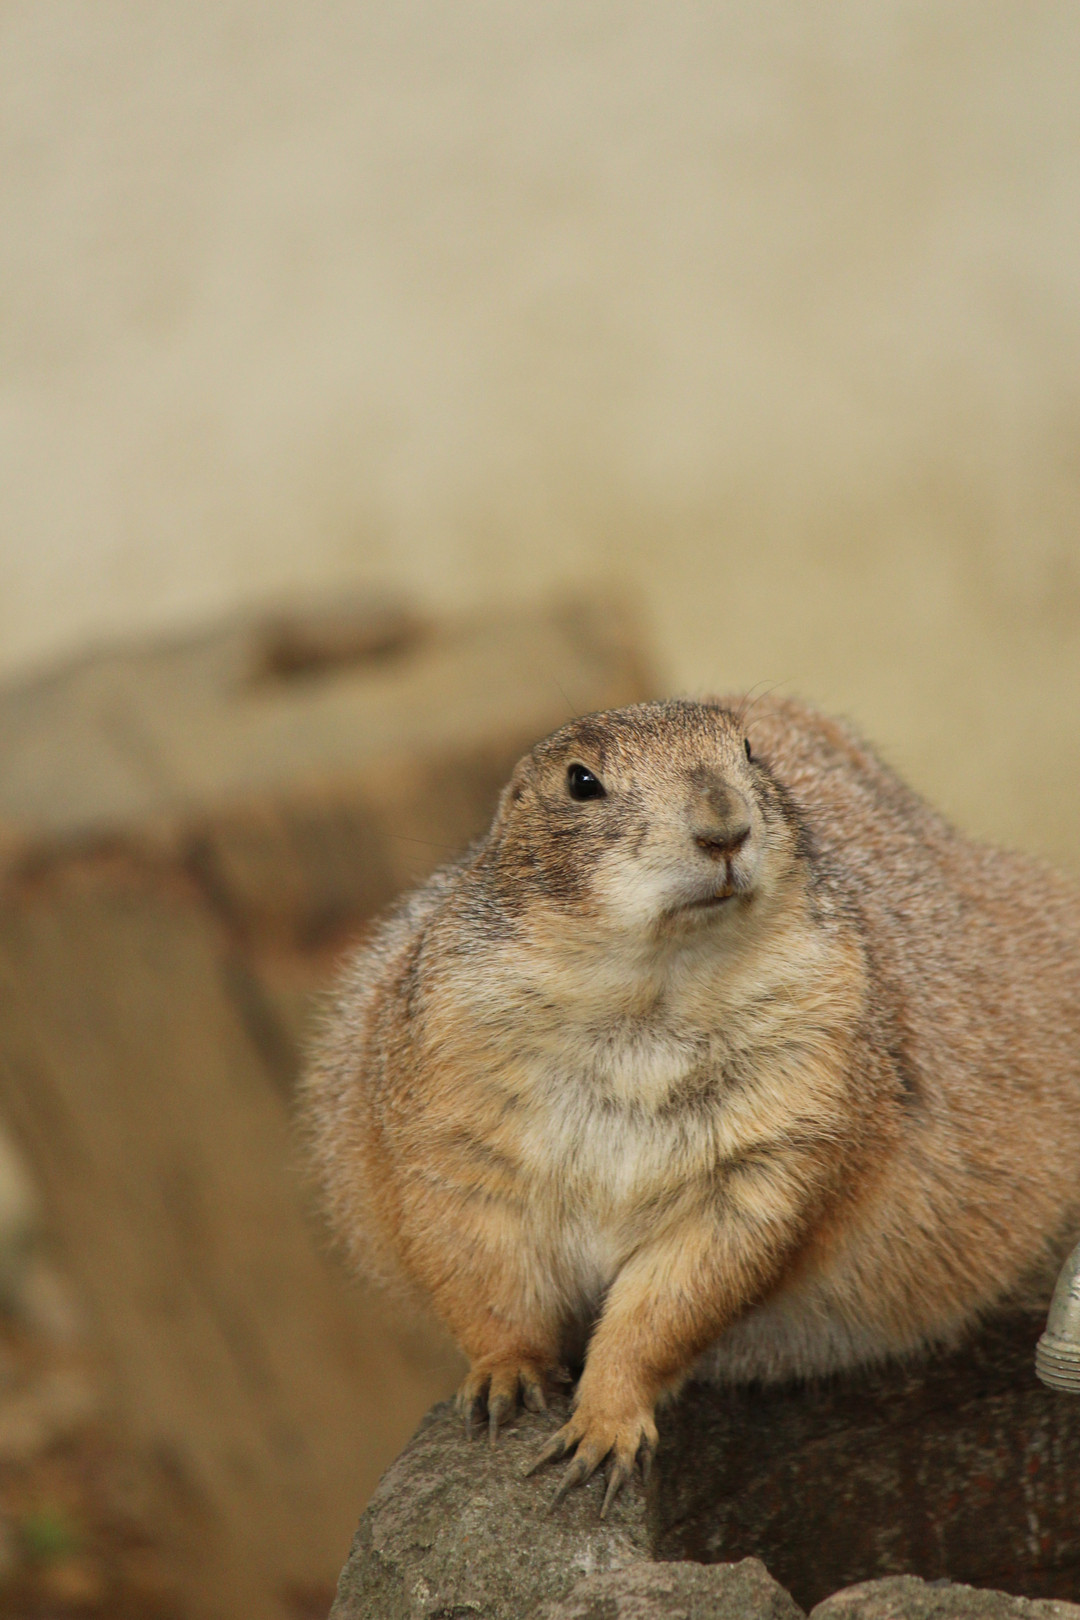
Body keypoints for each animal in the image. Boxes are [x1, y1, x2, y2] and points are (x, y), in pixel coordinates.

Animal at [301, 696, 1080, 1514]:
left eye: (748, 750)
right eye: (580, 782)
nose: (725, 827)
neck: (653, 990)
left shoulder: (792, 1111)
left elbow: (684, 1287)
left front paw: (602, 1431)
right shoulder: (451, 1089)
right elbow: (471, 1247)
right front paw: (502, 1381)